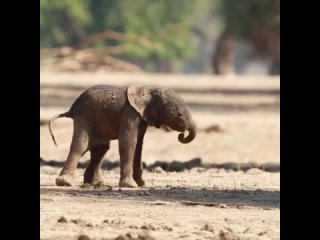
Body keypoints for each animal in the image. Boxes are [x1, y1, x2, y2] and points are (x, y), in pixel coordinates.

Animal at [48, 84, 196, 188]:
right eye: (179, 115)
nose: (182, 134)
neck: (150, 89)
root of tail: (71, 108)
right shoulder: (130, 113)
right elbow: (128, 142)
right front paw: (130, 185)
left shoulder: (141, 118)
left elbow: (138, 146)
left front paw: (141, 184)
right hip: (85, 115)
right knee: (82, 145)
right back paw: (65, 182)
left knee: (100, 148)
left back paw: (95, 183)